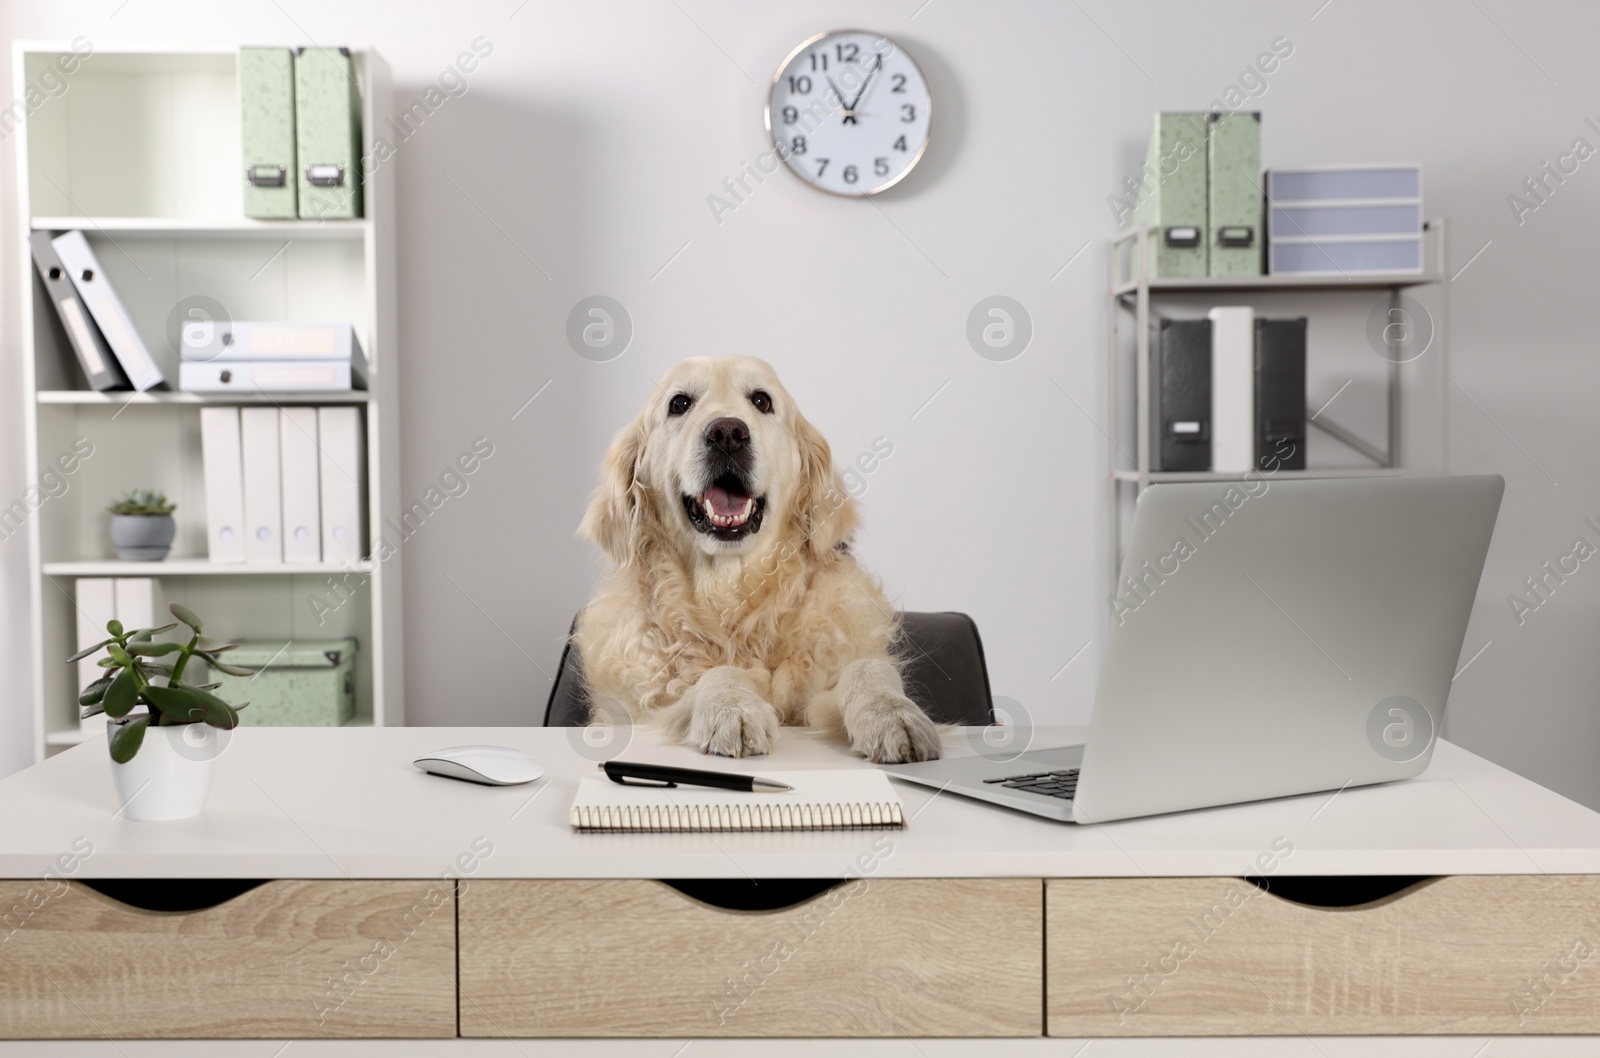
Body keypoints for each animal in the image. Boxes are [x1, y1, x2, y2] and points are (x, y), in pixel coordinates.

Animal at [576, 355, 940, 758]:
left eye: (762, 401)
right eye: (679, 403)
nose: (727, 433)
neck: (732, 592)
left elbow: (867, 669)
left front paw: (892, 714)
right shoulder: (645, 708)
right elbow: (717, 673)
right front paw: (731, 708)